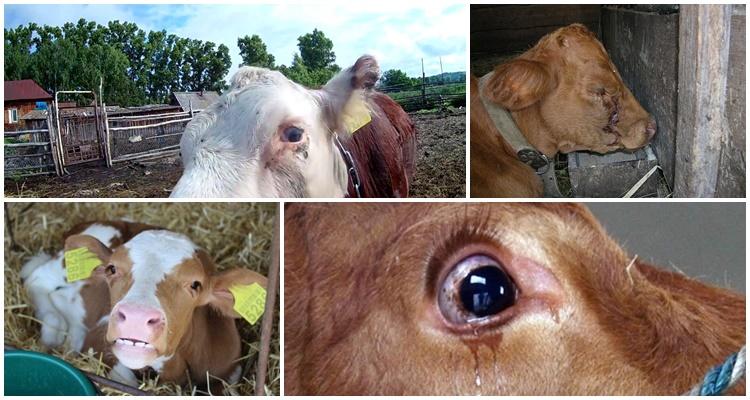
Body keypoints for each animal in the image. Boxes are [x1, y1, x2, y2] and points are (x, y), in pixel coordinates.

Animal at [22, 221, 268, 391]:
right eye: (111, 269)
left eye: (195, 284)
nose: (136, 317)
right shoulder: (97, 340)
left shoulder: (231, 370)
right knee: (36, 278)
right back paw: (54, 330)